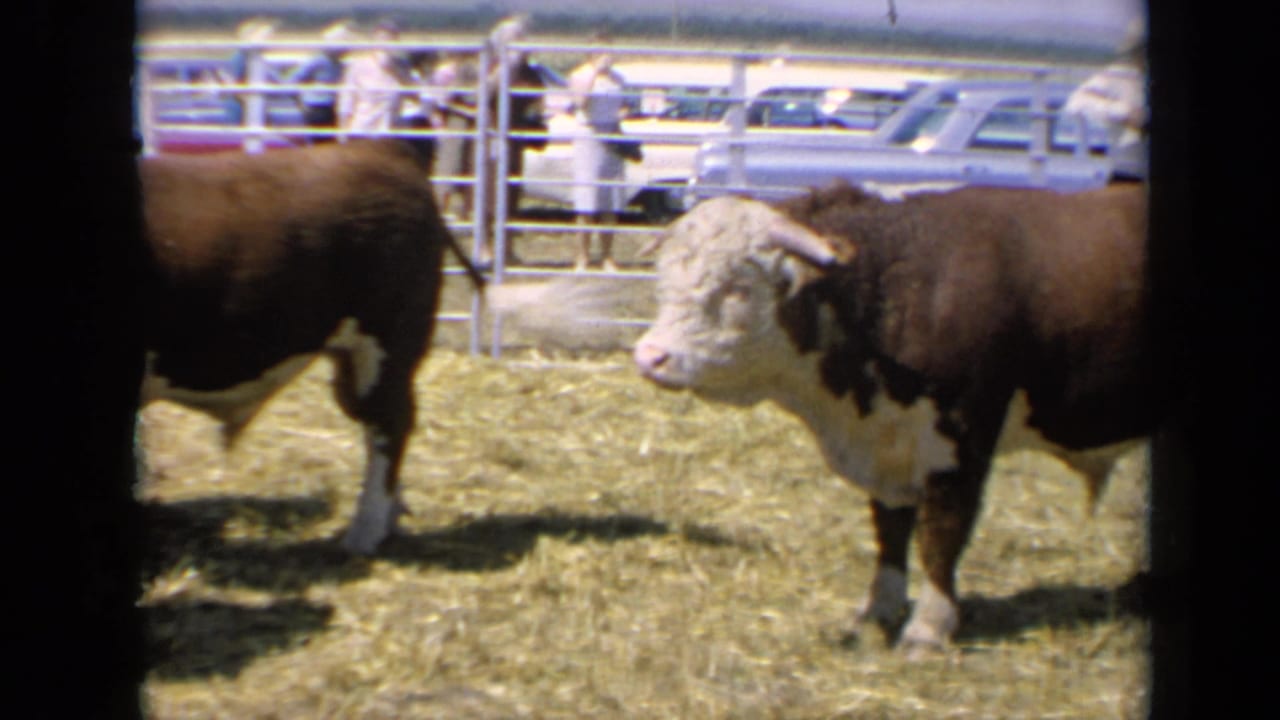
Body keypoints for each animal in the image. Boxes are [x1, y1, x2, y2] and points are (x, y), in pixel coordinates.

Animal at [631, 181, 1174, 654]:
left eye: (738, 290)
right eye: (664, 281)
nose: (651, 356)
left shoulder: (961, 443)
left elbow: (940, 538)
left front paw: (928, 628)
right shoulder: (888, 447)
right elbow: (890, 532)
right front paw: (879, 609)